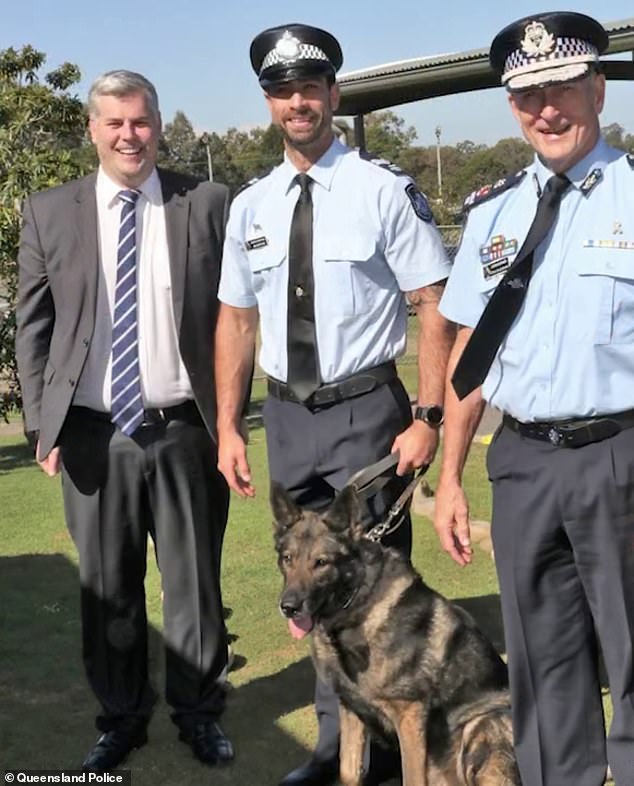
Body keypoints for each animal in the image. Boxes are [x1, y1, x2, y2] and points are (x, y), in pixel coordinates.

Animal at [270, 484, 520, 784]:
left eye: (321, 562)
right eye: (287, 559)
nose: (288, 607)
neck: (355, 606)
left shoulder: (410, 714)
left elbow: (411, 777)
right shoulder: (351, 708)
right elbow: (349, 770)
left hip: (482, 722)